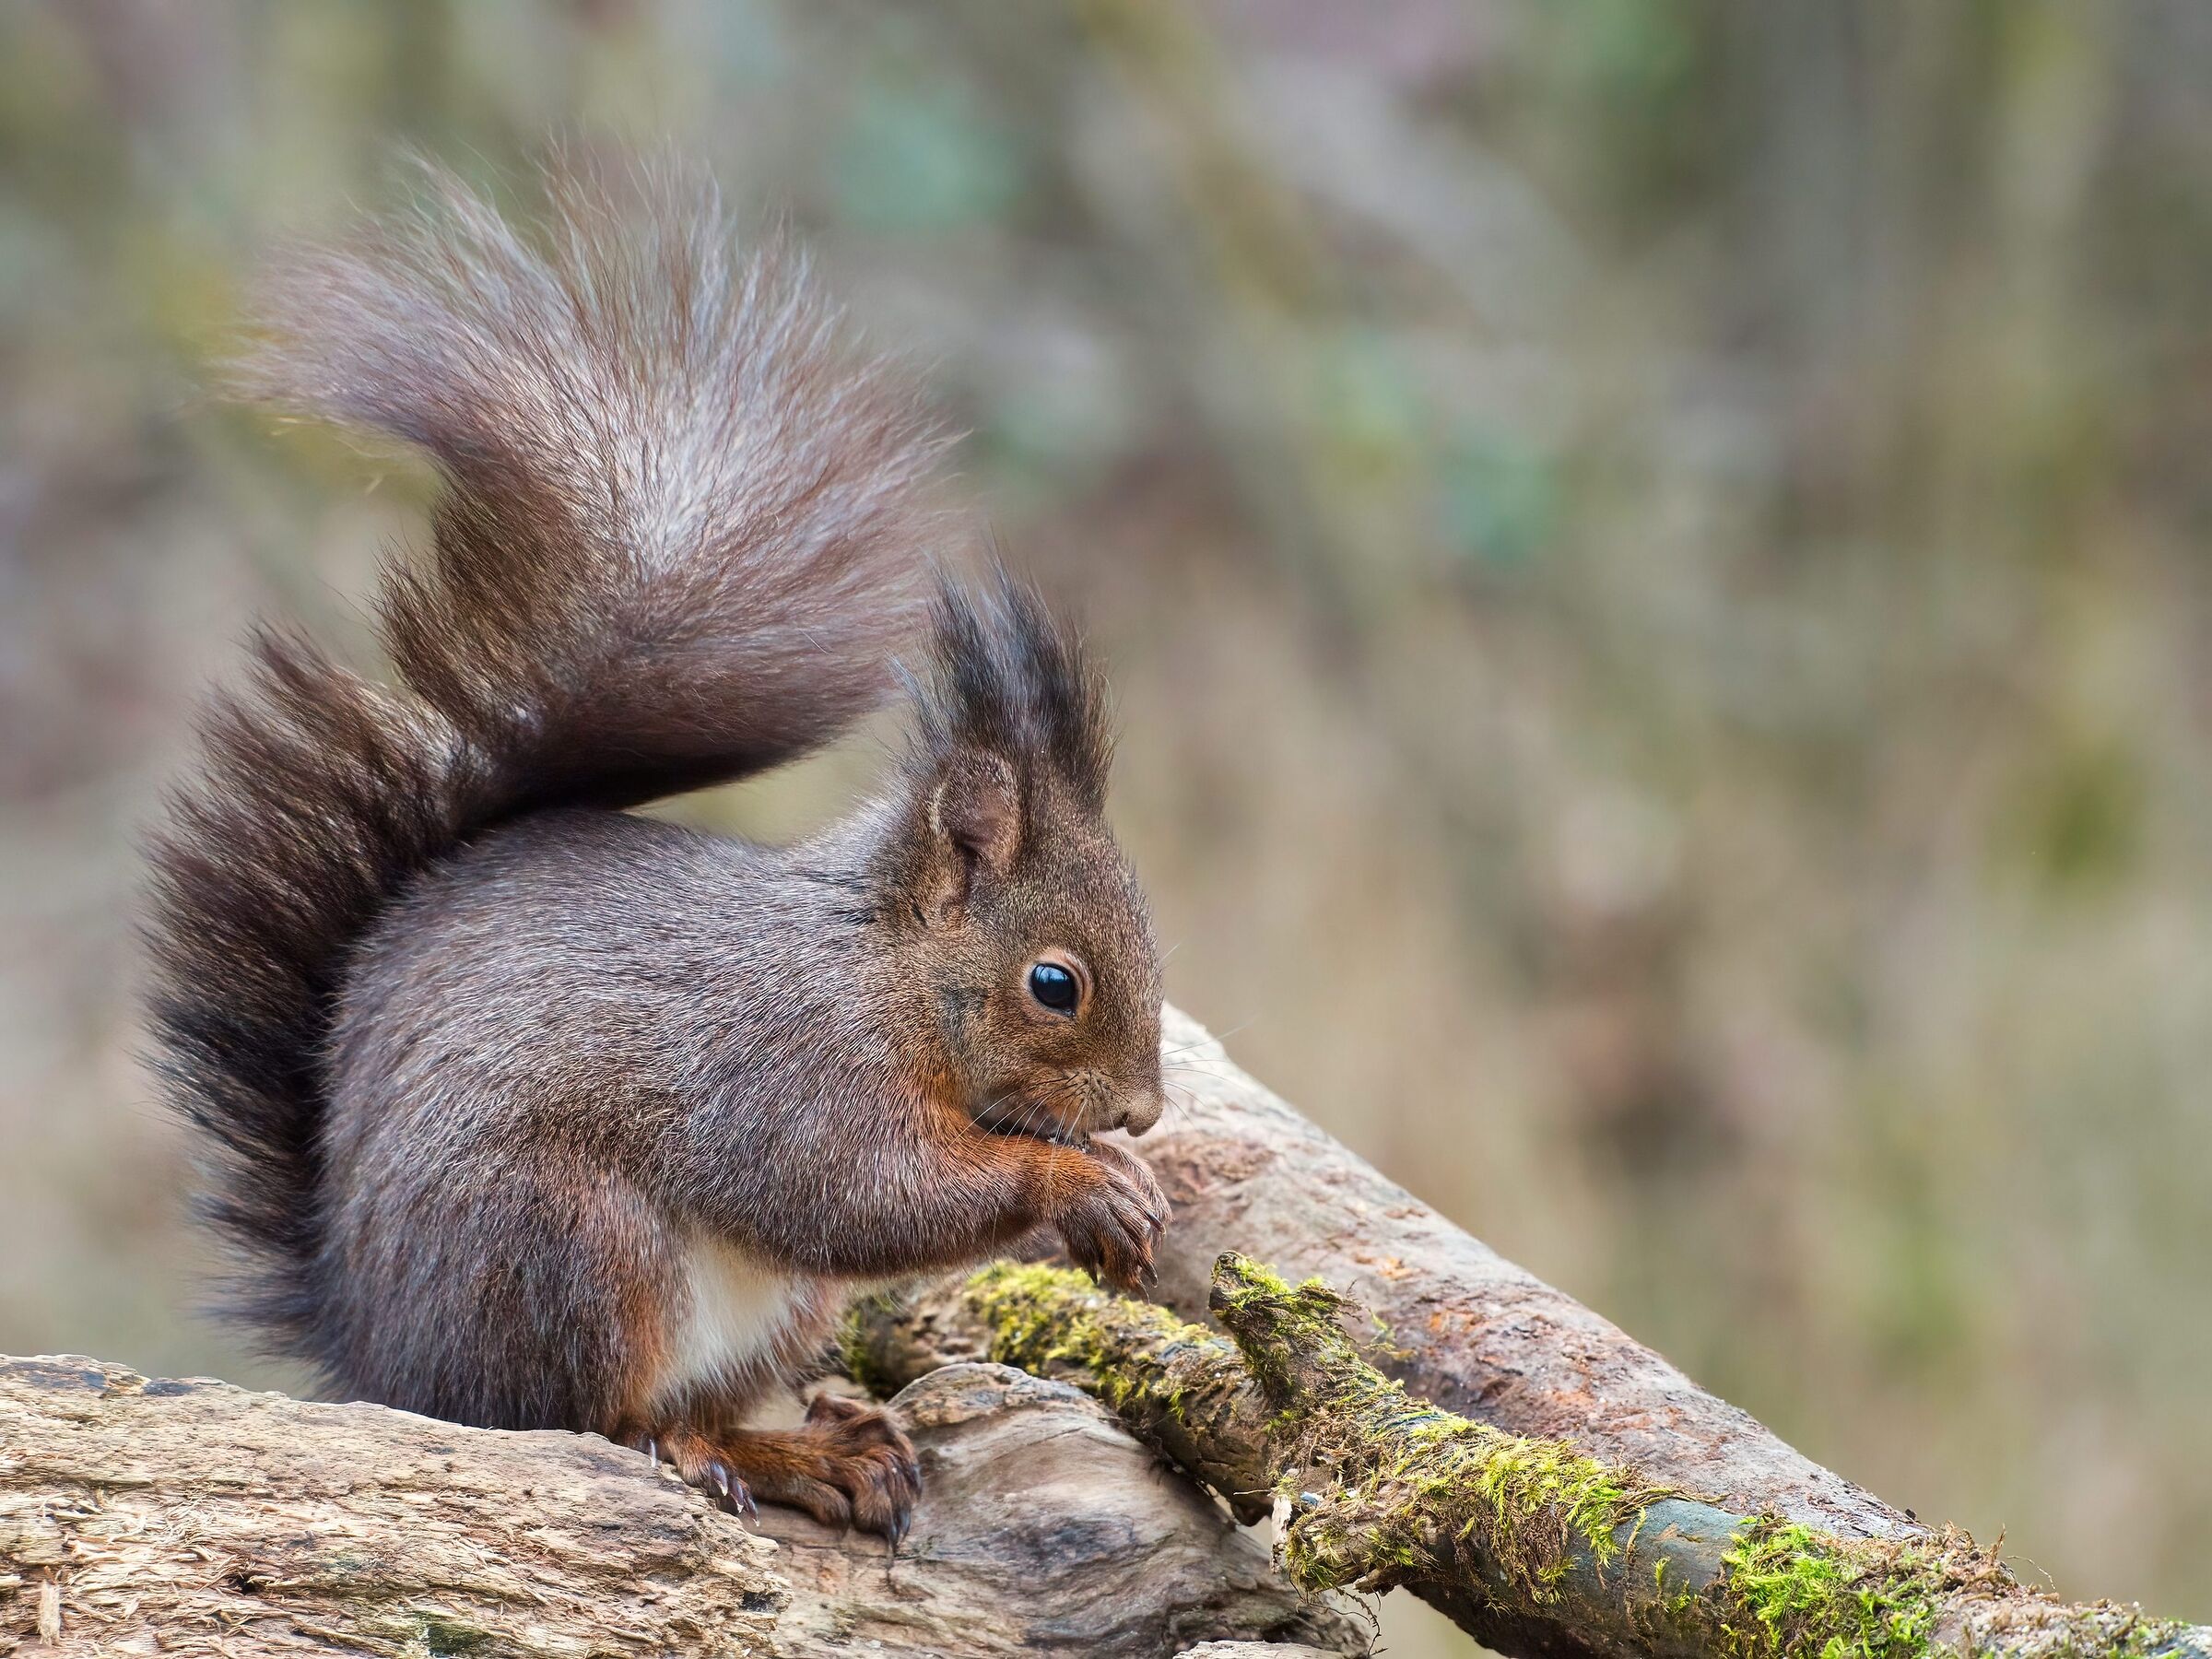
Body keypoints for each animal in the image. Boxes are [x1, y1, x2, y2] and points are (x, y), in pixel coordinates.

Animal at [143, 160, 1170, 1541]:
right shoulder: (791, 1070)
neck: (879, 968)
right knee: (589, 1415)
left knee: (703, 1403)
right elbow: (865, 1193)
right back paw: (692, 1451)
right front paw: (1082, 1184)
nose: (1145, 1111)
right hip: (575, 1247)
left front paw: (1124, 1177)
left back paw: (811, 1453)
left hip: (770, 1307)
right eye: (1054, 983)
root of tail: (382, 1357)